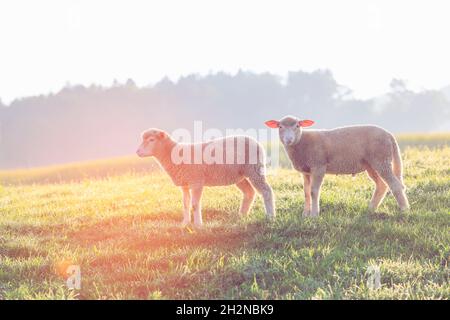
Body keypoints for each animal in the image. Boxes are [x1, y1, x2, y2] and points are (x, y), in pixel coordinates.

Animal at [135, 129, 276, 226]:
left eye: (151, 140)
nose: (137, 151)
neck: (172, 153)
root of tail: (256, 142)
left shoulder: (196, 181)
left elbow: (195, 204)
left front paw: (198, 224)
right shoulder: (184, 184)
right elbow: (185, 204)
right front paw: (185, 223)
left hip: (255, 169)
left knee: (266, 191)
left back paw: (270, 216)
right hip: (239, 175)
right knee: (249, 192)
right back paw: (241, 215)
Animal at [266, 115, 410, 218]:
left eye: (297, 125)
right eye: (280, 127)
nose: (288, 139)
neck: (301, 142)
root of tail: (390, 135)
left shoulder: (318, 166)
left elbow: (313, 191)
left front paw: (314, 215)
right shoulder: (306, 171)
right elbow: (306, 192)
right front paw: (305, 214)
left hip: (381, 159)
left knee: (395, 185)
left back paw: (404, 210)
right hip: (371, 164)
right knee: (382, 185)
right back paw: (370, 209)